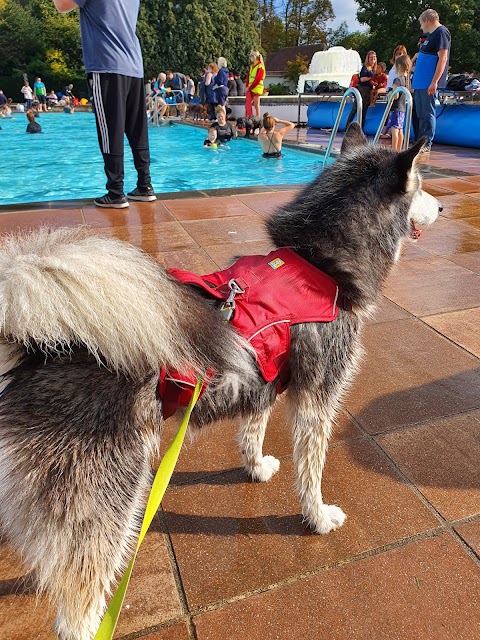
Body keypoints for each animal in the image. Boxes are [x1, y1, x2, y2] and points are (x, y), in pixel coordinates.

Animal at [0, 122, 440, 636]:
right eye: (422, 186)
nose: (443, 207)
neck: (318, 264)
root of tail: (36, 352)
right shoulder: (317, 398)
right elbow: (311, 471)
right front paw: (317, 516)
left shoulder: (266, 383)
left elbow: (252, 433)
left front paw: (256, 467)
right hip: (108, 502)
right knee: (76, 607)